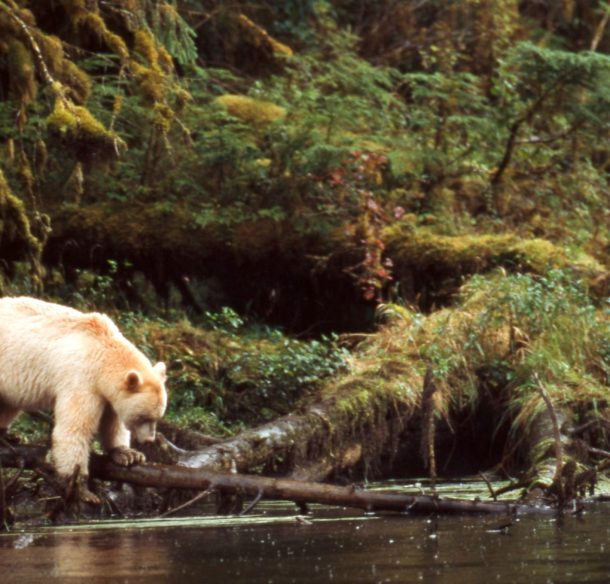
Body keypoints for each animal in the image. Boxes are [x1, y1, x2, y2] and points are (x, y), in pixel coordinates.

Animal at [0, 296, 166, 502]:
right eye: (143, 417)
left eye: (158, 417)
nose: (150, 440)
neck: (102, 351)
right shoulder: (81, 379)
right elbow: (74, 429)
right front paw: (82, 489)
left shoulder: (105, 390)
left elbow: (112, 421)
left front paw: (127, 454)